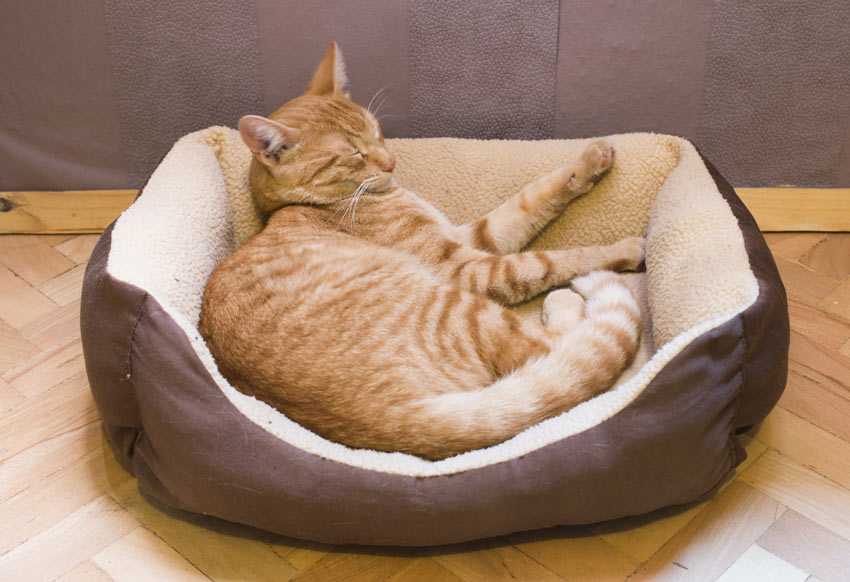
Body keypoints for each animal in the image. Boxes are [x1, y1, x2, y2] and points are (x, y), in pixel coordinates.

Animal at [200, 42, 644, 460]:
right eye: (353, 153)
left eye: (377, 131)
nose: (391, 162)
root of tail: (386, 425)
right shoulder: (469, 269)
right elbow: (554, 259)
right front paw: (624, 249)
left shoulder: (474, 237)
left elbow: (534, 199)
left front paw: (588, 162)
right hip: (465, 309)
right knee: (557, 347)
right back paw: (566, 303)